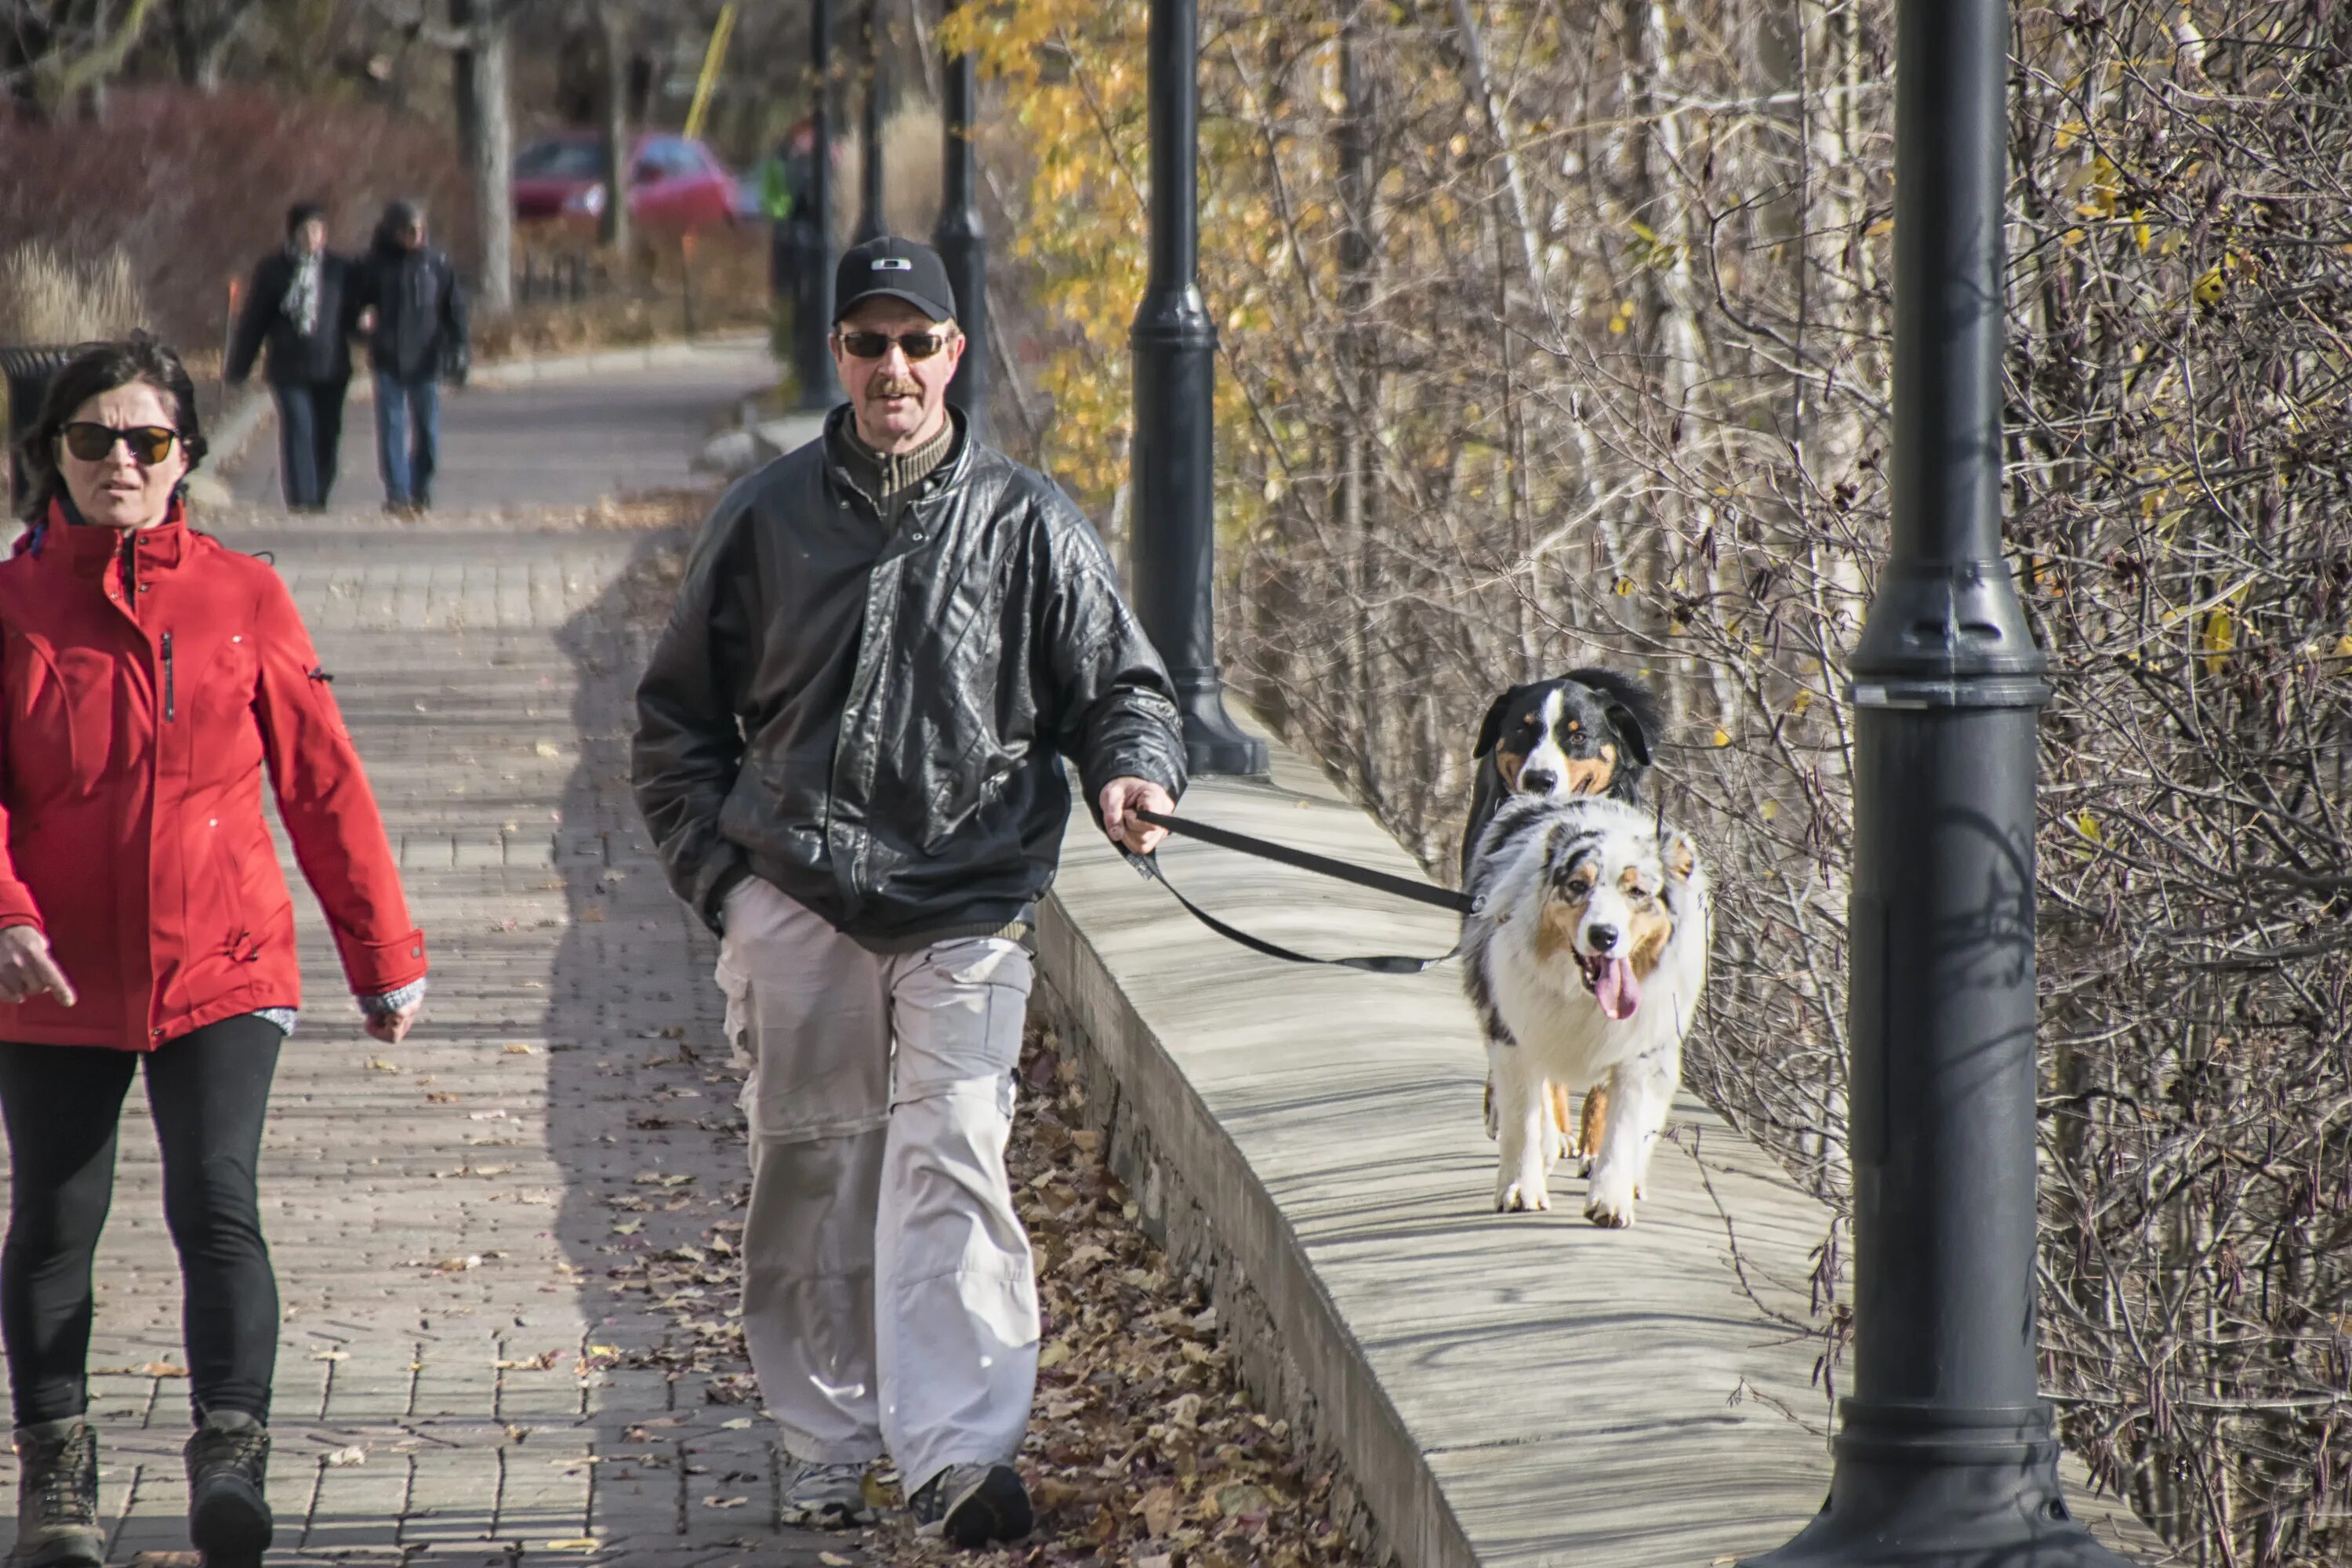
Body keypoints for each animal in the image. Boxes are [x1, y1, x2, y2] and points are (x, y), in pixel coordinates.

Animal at [1449, 799, 1712, 1222]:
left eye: (1637, 891)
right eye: (1577, 885)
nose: (1603, 935)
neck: (1583, 996)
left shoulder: (1640, 1049)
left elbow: (1623, 1125)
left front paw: (1610, 1200)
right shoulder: (1517, 1037)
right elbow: (1524, 1119)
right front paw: (1521, 1189)